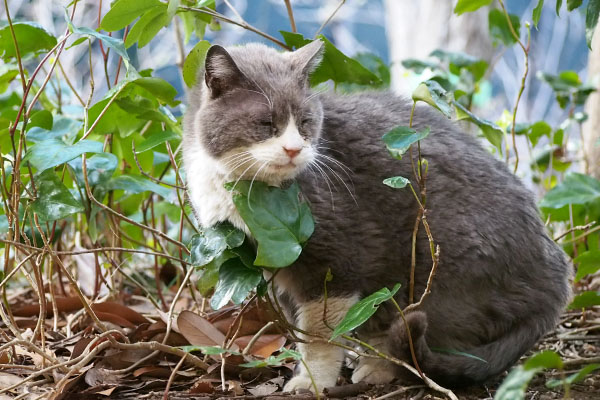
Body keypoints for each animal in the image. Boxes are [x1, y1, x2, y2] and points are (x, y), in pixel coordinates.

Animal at [183, 40, 572, 390]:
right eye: (266, 123)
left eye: (306, 122)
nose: (294, 149)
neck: (246, 191)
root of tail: (556, 282)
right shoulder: (272, 263)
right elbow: (300, 327)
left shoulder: (337, 258)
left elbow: (321, 334)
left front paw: (311, 381)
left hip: (435, 267)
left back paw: (380, 367)